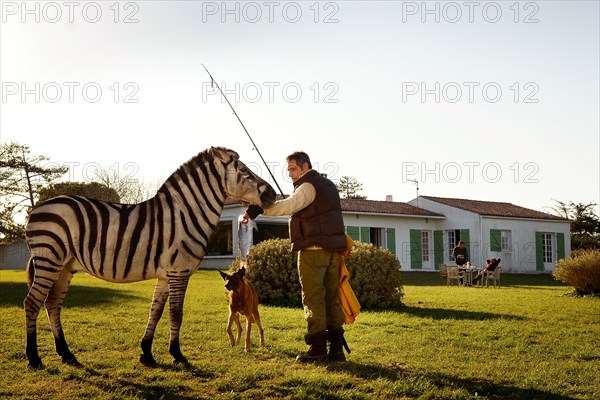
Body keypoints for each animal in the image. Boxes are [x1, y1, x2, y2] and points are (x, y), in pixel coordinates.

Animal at [22, 147, 276, 368]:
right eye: (244, 171)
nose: (273, 194)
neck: (185, 214)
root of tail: (36, 209)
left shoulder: (166, 275)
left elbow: (156, 311)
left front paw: (147, 354)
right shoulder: (179, 272)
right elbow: (176, 314)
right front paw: (177, 355)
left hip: (64, 266)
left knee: (52, 304)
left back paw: (67, 354)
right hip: (49, 260)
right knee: (32, 303)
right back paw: (34, 358)